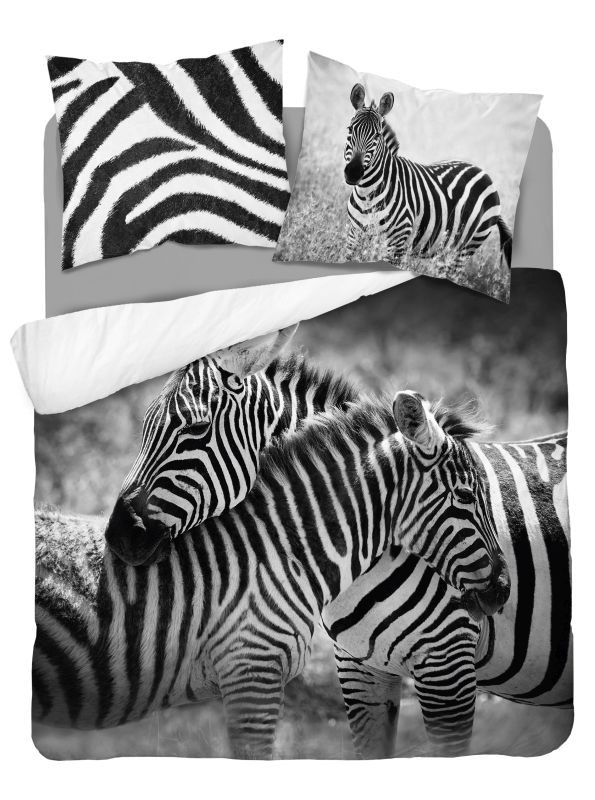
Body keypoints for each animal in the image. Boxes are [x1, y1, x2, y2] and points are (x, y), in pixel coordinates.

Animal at [343, 83, 512, 272]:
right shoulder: (354, 234)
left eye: (377, 135)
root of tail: (484, 173)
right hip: (446, 250)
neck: (368, 194)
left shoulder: (397, 242)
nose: (353, 172)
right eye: (350, 129)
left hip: (465, 249)